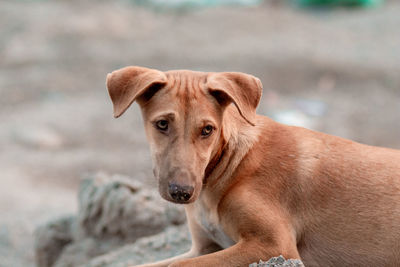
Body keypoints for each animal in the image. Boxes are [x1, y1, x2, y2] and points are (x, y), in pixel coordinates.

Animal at [105, 66, 400, 266]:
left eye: (208, 129)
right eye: (162, 124)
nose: (182, 192)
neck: (228, 165)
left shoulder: (274, 245)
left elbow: (180, 265)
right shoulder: (204, 247)